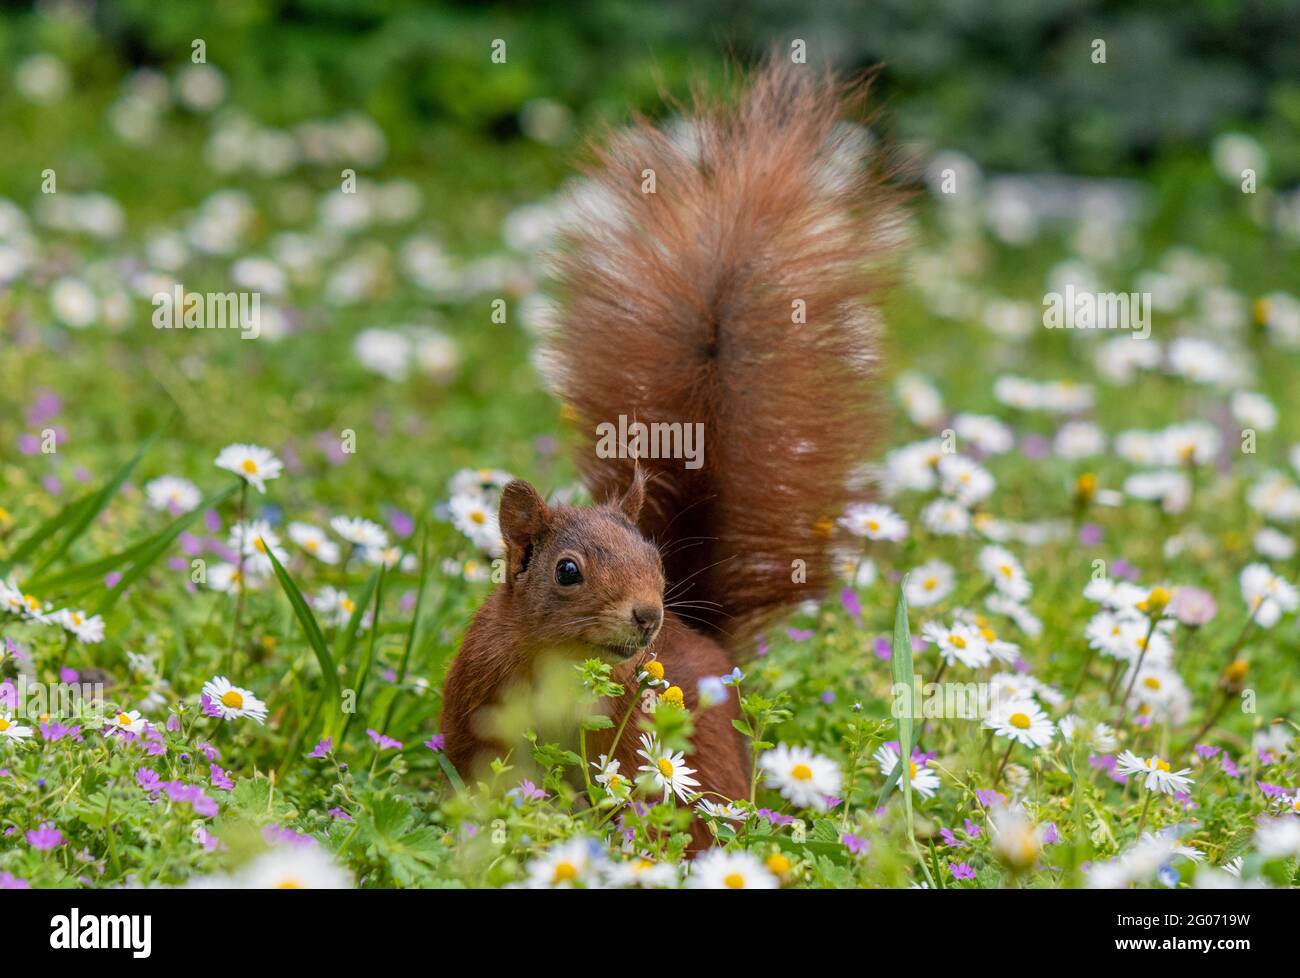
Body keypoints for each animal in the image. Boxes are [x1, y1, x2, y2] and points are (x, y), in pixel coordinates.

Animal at [441, 61, 899, 847]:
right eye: (567, 571)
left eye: (657, 561)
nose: (648, 616)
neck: (563, 665)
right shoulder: (480, 706)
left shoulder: (625, 732)